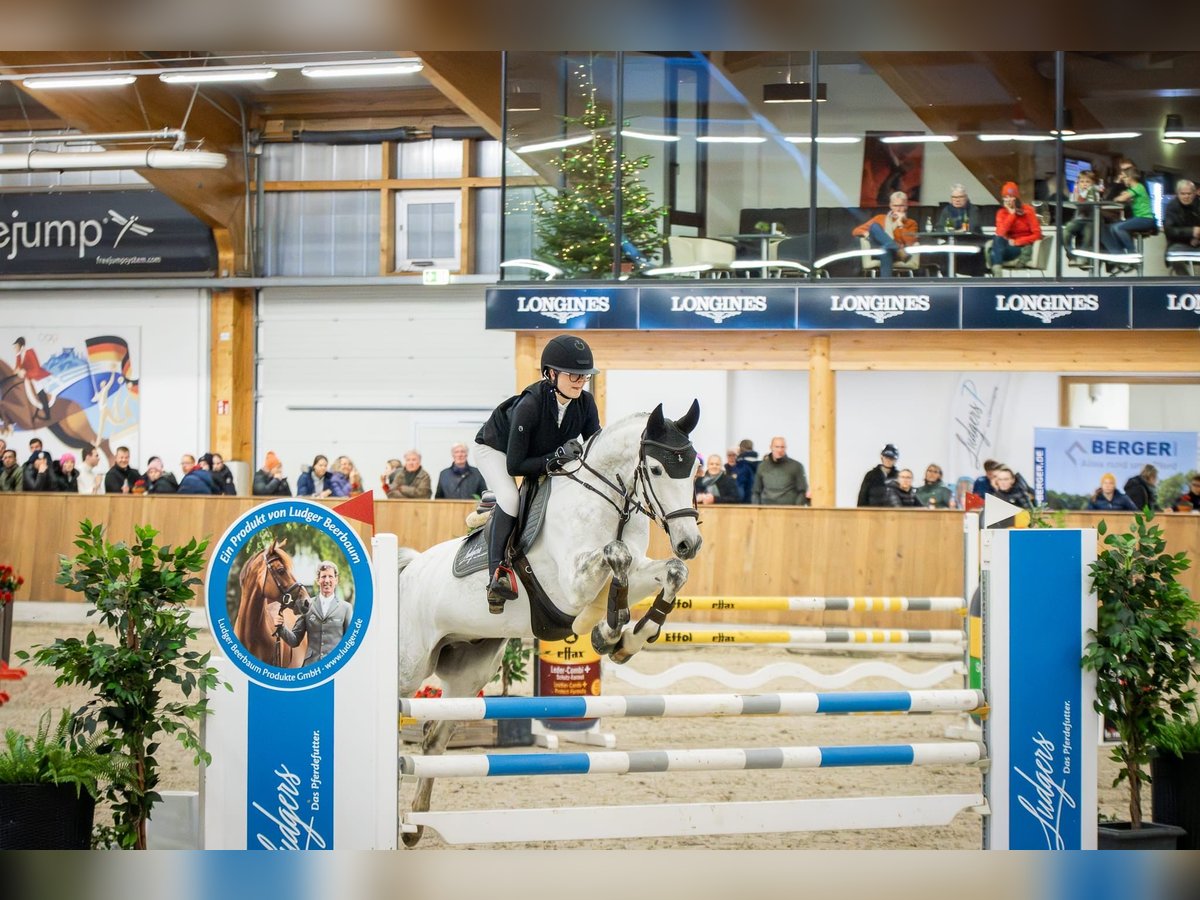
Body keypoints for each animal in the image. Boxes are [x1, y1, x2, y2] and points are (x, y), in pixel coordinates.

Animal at [398, 400, 700, 844]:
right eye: (659, 470)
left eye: (694, 469)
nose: (689, 542)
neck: (608, 502)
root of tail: (407, 569)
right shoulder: (570, 586)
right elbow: (616, 554)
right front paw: (609, 629)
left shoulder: (640, 571)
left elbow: (669, 572)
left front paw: (624, 638)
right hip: (410, 668)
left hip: (470, 673)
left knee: (434, 739)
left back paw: (413, 825)